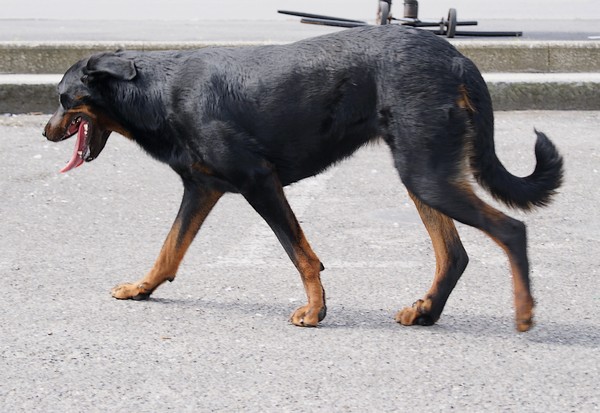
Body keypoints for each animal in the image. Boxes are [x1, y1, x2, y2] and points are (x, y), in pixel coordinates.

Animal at [43, 24, 564, 330]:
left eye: (64, 99)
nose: (46, 132)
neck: (154, 92)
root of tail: (458, 58)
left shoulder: (259, 181)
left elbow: (301, 255)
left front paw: (315, 310)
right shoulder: (203, 189)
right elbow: (169, 251)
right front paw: (142, 289)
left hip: (426, 174)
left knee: (510, 230)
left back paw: (523, 312)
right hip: (422, 173)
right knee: (454, 254)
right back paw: (427, 311)